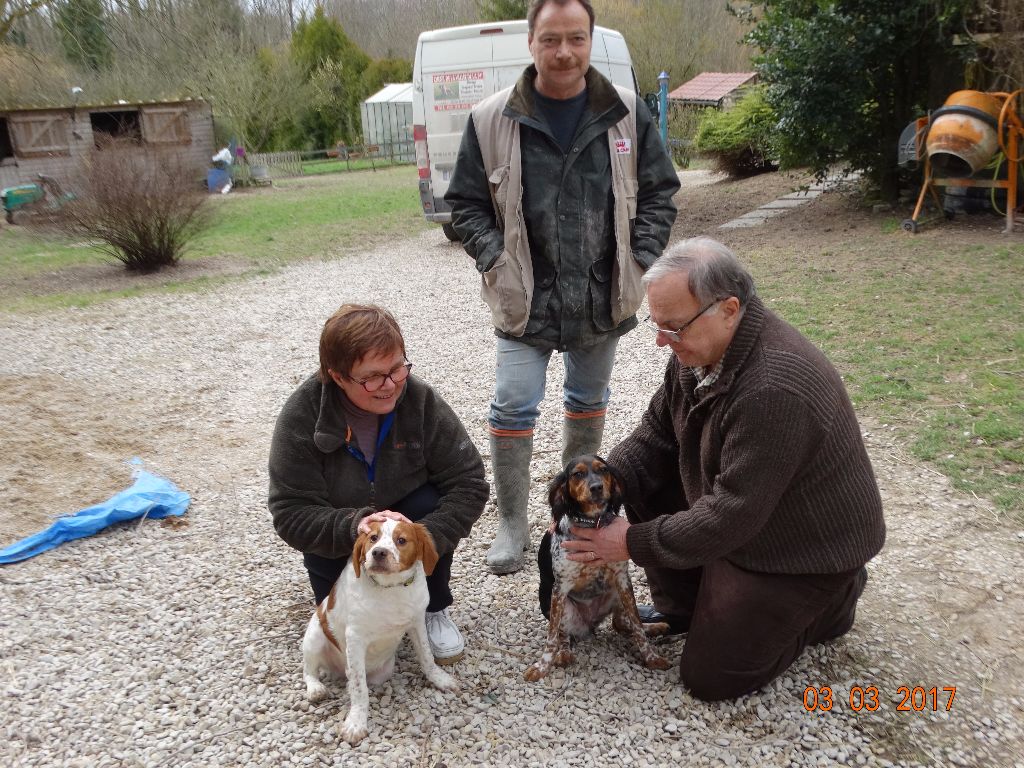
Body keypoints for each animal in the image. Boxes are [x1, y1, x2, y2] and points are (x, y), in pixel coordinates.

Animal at [301, 518, 458, 745]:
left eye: (401, 540)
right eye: (373, 537)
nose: (378, 553)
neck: (390, 588)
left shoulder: (417, 622)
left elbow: (427, 657)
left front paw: (440, 679)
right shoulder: (355, 638)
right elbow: (360, 688)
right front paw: (356, 723)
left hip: (383, 670)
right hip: (314, 638)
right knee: (309, 670)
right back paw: (315, 689)